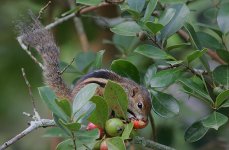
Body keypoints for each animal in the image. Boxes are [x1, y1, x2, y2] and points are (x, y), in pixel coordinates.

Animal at [17, 15, 151, 124]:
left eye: (151, 106)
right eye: (140, 105)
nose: (145, 119)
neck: (127, 89)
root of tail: (72, 98)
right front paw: (129, 116)